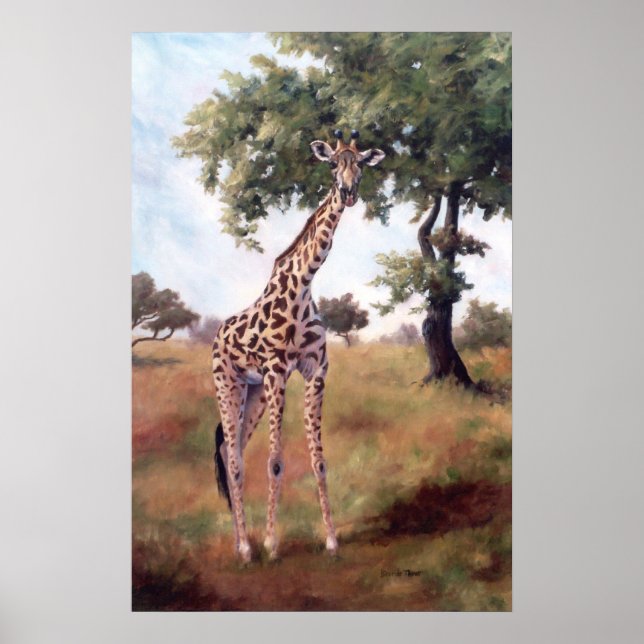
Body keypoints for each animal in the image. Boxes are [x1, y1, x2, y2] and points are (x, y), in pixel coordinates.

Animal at [211, 129, 385, 563]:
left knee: (233, 453)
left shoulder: (316, 370)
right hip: (228, 384)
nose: (348, 192)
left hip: (253, 392)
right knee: (233, 460)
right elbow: (275, 461)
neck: (303, 284)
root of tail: (216, 337)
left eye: (360, 163)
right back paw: (245, 548)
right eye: (332, 163)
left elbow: (319, 461)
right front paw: (272, 544)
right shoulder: (277, 370)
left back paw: (243, 542)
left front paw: (332, 541)